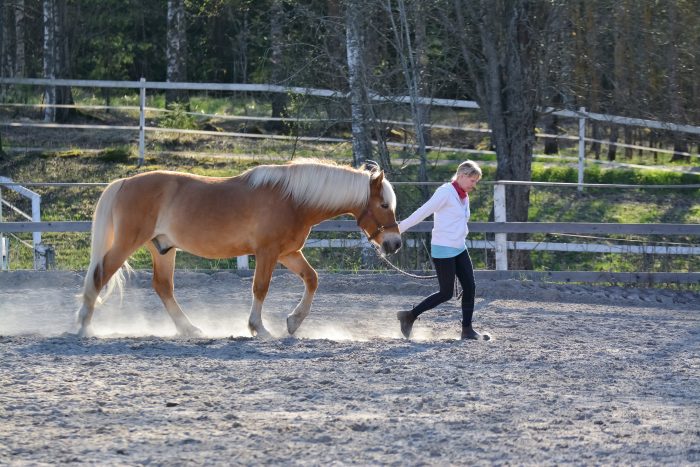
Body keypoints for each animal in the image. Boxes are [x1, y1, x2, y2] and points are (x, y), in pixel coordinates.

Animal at [76, 158, 402, 338]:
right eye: (384, 205)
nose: (395, 243)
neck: (294, 200)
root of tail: (124, 182)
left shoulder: (287, 253)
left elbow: (312, 279)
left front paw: (293, 323)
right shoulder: (268, 253)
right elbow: (260, 288)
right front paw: (259, 327)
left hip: (163, 249)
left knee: (163, 287)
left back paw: (190, 329)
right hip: (127, 243)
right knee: (100, 274)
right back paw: (84, 325)